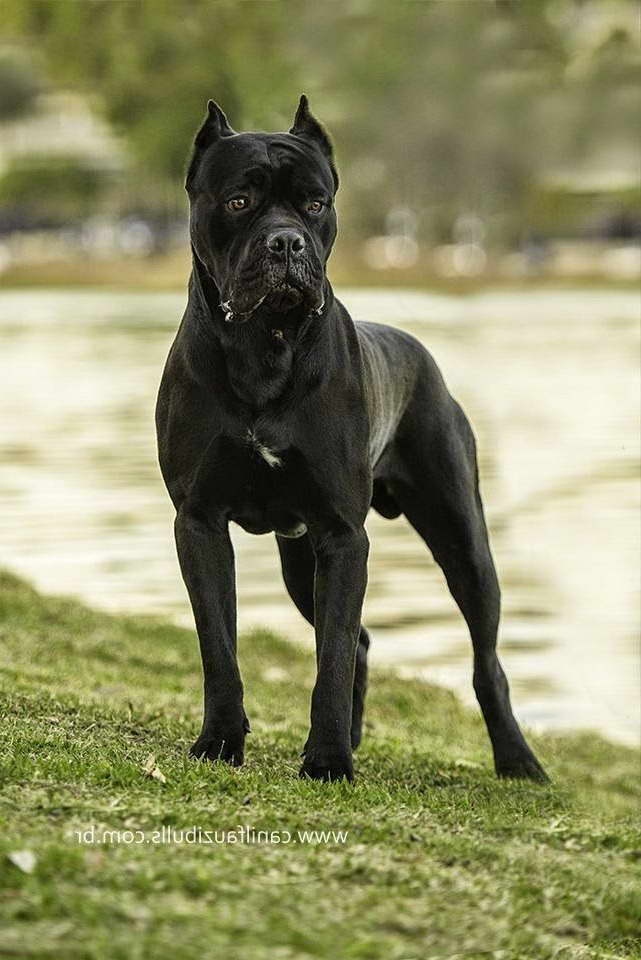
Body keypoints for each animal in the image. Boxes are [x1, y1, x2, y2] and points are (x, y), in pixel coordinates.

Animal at [154, 97, 544, 784]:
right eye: (238, 201)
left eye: (314, 203)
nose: (286, 241)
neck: (265, 344)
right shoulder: (199, 523)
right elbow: (220, 646)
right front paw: (220, 743)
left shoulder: (341, 533)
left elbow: (330, 655)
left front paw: (328, 759)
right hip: (298, 558)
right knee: (361, 641)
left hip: (462, 541)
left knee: (485, 662)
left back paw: (518, 761)